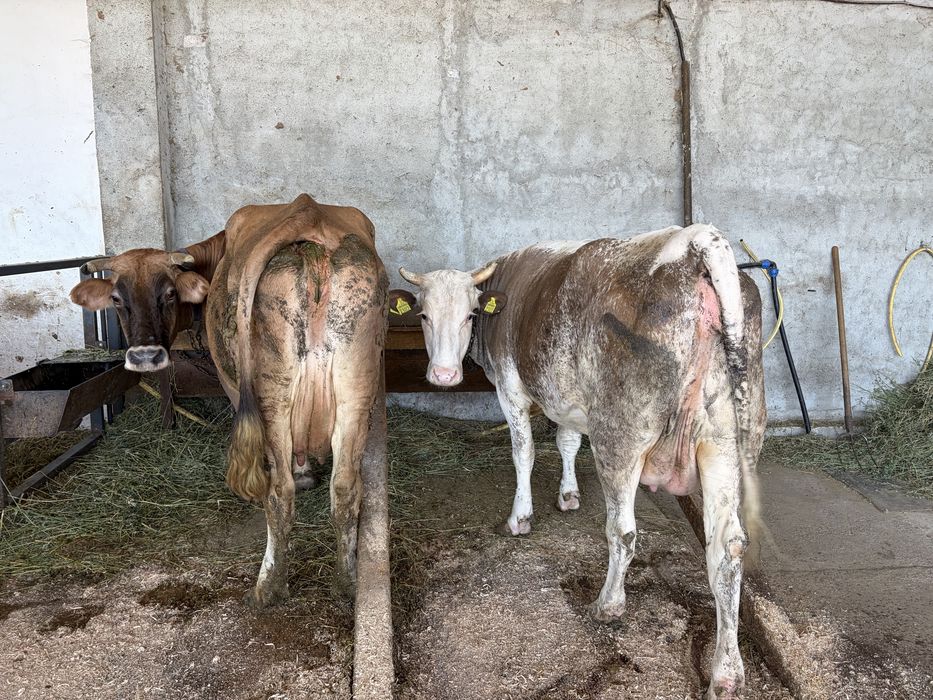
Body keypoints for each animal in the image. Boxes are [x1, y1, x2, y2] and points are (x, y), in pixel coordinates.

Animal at [69, 193, 388, 605]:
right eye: (116, 298)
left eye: (168, 294)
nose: (144, 356)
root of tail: (309, 214)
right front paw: (307, 473)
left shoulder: (233, 385)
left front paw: (301, 476)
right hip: (355, 388)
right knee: (346, 488)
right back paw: (346, 583)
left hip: (270, 393)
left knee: (278, 492)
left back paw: (268, 586)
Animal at [393, 224, 766, 698]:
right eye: (423, 316)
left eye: (470, 315)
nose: (443, 375)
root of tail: (693, 243)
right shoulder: (565, 400)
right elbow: (568, 440)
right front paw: (568, 495)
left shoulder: (512, 390)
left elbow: (524, 451)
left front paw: (520, 517)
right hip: (727, 444)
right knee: (727, 548)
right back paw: (726, 671)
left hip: (620, 438)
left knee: (623, 532)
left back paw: (607, 605)